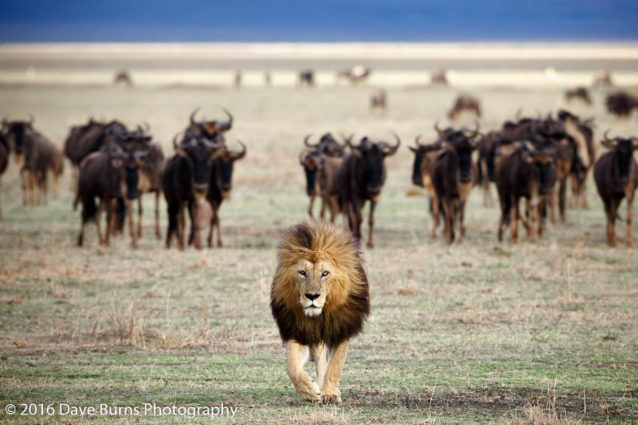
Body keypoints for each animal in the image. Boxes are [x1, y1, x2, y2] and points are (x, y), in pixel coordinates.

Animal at [270, 220, 370, 402]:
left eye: (325, 273)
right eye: (302, 272)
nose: (312, 296)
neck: (318, 317)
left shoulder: (340, 330)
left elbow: (335, 364)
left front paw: (330, 393)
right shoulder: (299, 332)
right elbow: (292, 365)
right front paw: (309, 390)